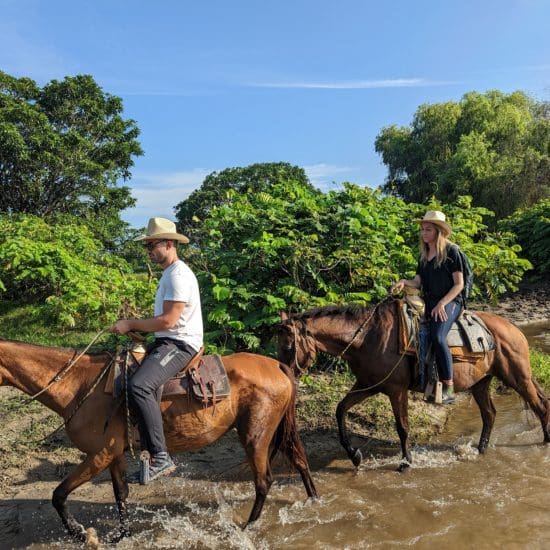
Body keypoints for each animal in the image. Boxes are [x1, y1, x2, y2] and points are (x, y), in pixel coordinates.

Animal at [0, 338, 320, 544]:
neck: (79, 386)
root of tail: (276, 366)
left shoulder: (98, 455)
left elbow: (59, 494)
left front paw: (80, 532)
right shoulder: (114, 454)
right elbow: (120, 494)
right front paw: (121, 535)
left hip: (255, 435)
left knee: (264, 481)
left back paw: (246, 528)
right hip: (275, 430)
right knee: (300, 462)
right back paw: (314, 502)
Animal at [278, 300, 550, 472]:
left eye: (289, 346)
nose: (285, 378)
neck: (367, 338)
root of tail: (513, 329)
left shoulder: (396, 390)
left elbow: (403, 427)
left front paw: (406, 462)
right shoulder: (368, 385)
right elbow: (340, 409)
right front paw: (354, 456)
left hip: (518, 376)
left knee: (539, 405)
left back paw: (545, 441)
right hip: (481, 383)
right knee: (490, 414)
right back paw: (481, 449)